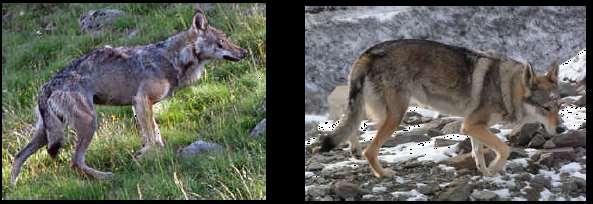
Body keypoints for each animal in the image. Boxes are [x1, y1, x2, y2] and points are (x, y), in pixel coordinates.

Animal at [11, 9, 247, 185]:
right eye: (222, 41)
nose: (243, 52)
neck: (173, 59)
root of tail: (47, 86)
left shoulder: (140, 105)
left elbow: (155, 134)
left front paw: (154, 155)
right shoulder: (142, 100)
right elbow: (152, 137)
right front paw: (145, 156)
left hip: (47, 134)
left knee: (18, 156)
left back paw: (13, 188)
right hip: (88, 123)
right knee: (74, 161)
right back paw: (107, 177)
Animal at [314, 39, 560, 178]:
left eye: (558, 107)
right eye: (546, 108)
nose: (560, 131)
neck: (505, 87)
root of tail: (369, 52)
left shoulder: (473, 125)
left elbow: (478, 151)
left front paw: (485, 172)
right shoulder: (471, 124)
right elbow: (504, 149)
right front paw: (495, 169)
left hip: (375, 109)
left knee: (350, 122)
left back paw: (354, 150)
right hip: (395, 116)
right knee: (369, 149)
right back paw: (383, 174)